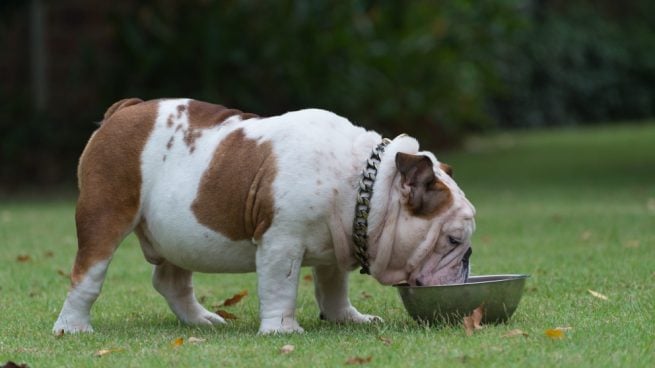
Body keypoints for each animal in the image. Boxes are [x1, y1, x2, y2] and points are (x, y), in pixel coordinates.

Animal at [53, 98, 476, 334]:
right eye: (454, 240)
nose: (467, 260)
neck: (362, 181)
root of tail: (125, 109)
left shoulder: (336, 241)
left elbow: (333, 288)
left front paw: (347, 318)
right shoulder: (281, 242)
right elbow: (280, 287)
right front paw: (282, 329)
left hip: (178, 232)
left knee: (170, 281)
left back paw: (201, 321)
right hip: (105, 213)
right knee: (87, 274)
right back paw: (73, 327)